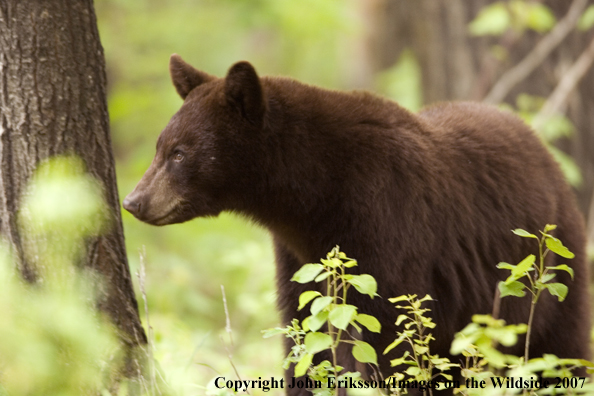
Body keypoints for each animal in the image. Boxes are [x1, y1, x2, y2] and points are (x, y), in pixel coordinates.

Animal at [123, 54, 588, 394]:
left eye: (180, 153)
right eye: (161, 146)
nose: (133, 201)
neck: (314, 197)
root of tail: (545, 152)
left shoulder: (386, 226)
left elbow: (388, 339)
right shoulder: (298, 256)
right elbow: (303, 332)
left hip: (552, 270)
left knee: (561, 348)